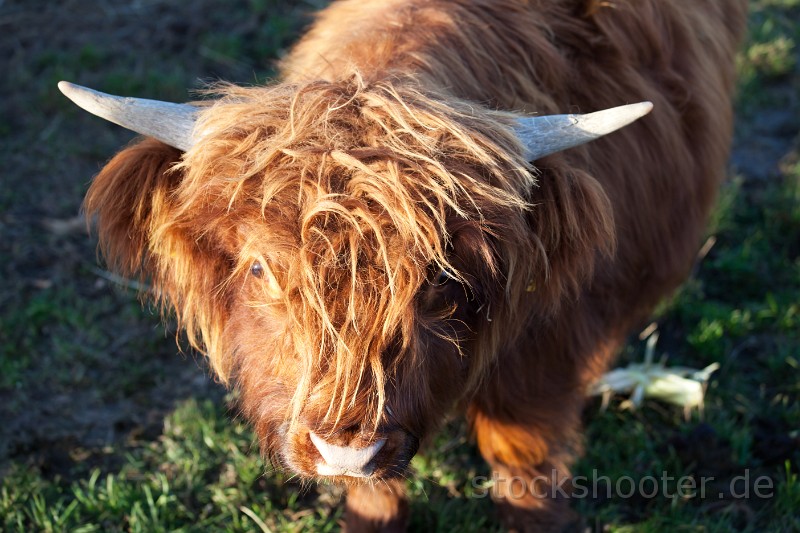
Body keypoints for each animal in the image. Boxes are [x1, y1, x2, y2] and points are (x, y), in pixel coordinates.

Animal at [59, 0, 748, 528]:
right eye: (259, 270)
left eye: (441, 280)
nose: (344, 451)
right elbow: (378, 492)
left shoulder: (548, 350)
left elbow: (523, 462)